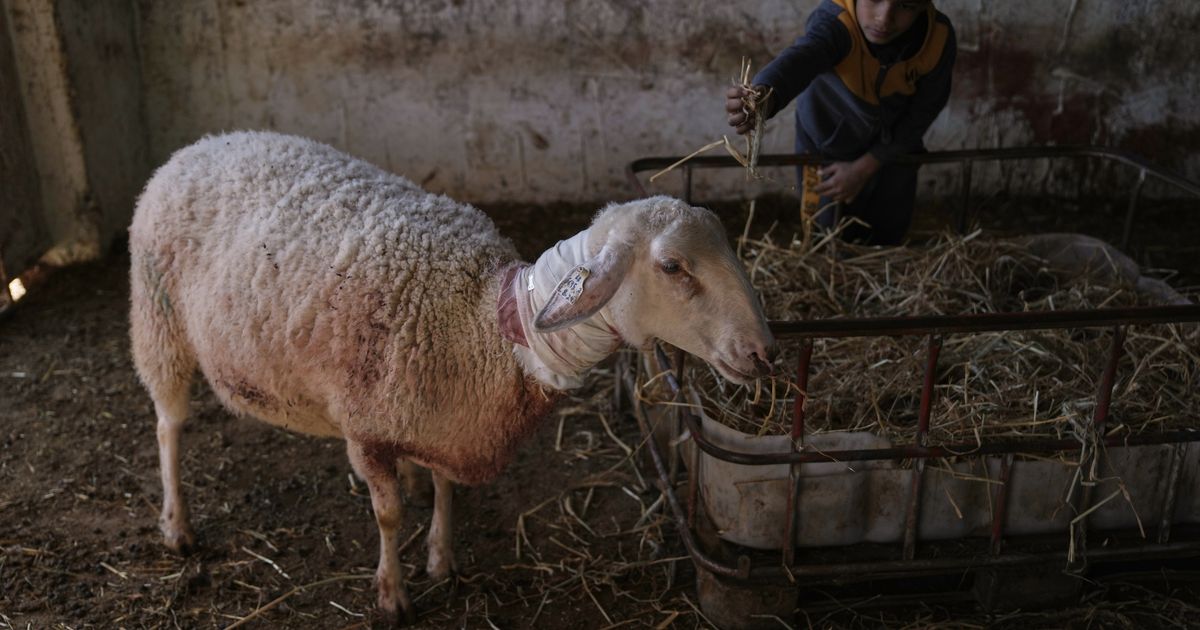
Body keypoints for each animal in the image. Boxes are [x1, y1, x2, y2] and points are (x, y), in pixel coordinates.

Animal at [128, 130, 777, 624]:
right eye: (673, 267)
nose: (763, 351)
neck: (484, 323)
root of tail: (203, 144)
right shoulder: (366, 430)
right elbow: (387, 516)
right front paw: (393, 593)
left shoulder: (448, 418)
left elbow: (446, 489)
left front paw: (442, 556)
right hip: (159, 322)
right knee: (167, 426)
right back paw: (177, 525)